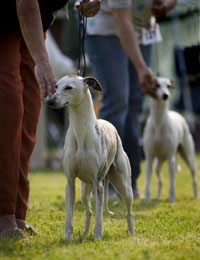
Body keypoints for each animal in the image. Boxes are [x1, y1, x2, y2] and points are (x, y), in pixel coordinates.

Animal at [46, 74, 134, 240]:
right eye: (56, 86)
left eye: (68, 87)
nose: (49, 101)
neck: (81, 131)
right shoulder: (70, 182)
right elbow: (69, 215)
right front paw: (68, 238)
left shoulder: (97, 183)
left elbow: (100, 216)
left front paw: (98, 236)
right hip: (85, 190)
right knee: (89, 211)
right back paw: (85, 233)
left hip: (123, 186)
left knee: (129, 211)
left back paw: (132, 233)